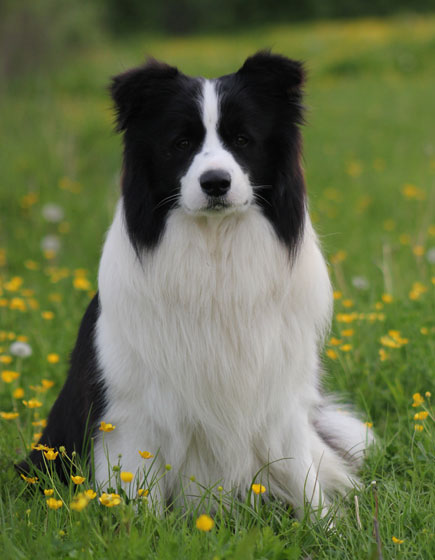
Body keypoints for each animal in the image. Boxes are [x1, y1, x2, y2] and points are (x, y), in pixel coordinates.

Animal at [17, 51, 374, 516]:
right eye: (181, 143)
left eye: (242, 139)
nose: (216, 182)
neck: (214, 250)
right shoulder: (130, 417)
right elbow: (137, 501)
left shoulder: (282, 401)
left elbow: (304, 483)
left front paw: (325, 527)